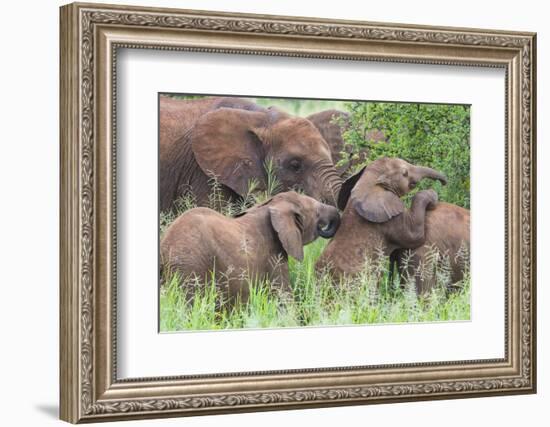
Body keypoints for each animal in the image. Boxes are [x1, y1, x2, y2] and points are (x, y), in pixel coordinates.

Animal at [314, 159, 448, 280]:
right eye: (405, 173)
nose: (444, 183)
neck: (369, 181)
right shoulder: (389, 219)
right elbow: (415, 236)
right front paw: (432, 195)